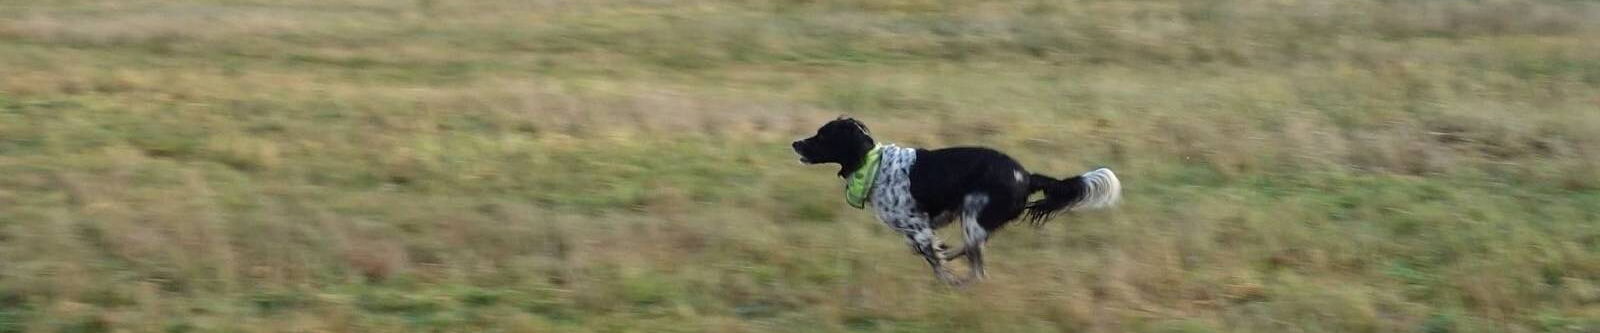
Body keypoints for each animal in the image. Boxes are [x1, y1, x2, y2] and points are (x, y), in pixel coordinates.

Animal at [790, 116, 1120, 283]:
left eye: (823, 135)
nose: (795, 143)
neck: (874, 166)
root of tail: (1025, 175)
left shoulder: (920, 228)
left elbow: (932, 260)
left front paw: (946, 281)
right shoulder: (916, 232)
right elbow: (924, 252)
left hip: (973, 217)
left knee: (978, 265)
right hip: (972, 219)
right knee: (975, 252)